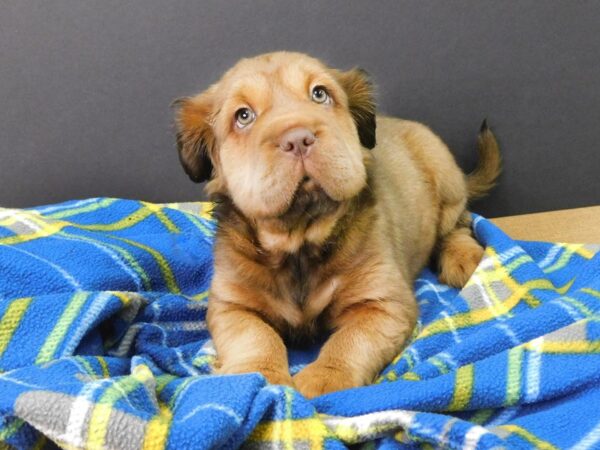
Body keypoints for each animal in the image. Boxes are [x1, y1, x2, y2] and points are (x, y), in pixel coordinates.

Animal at [173, 51, 502, 398]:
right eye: (243, 116)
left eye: (320, 94)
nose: (298, 139)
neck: (300, 241)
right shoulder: (230, 305)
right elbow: (255, 336)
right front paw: (259, 376)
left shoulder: (384, 303)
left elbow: (349, 342)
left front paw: (324, 379)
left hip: (444, 176)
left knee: (458, 223)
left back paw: (464, 257)